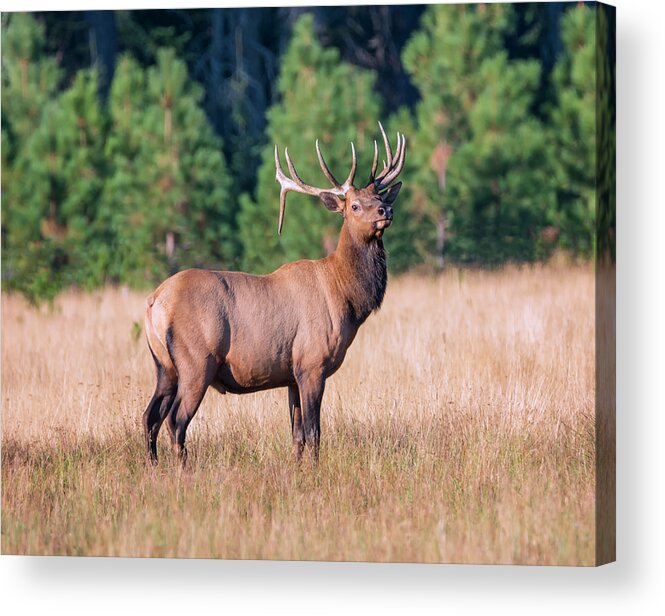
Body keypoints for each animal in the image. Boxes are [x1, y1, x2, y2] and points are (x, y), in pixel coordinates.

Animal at [143, 122, 404, 464]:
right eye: (355, 205)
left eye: (378, 195)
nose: (386, 210)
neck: (346, 298)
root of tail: (154, 303)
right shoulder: (312, 363)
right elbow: (314, 433)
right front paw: (315, 470)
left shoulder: (291, 374)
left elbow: (297, 435)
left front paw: (298, 469)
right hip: (196, 361)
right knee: (175, 421)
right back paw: (182, 470)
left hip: (164, 366)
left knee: (150, 417)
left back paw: (154, 467)